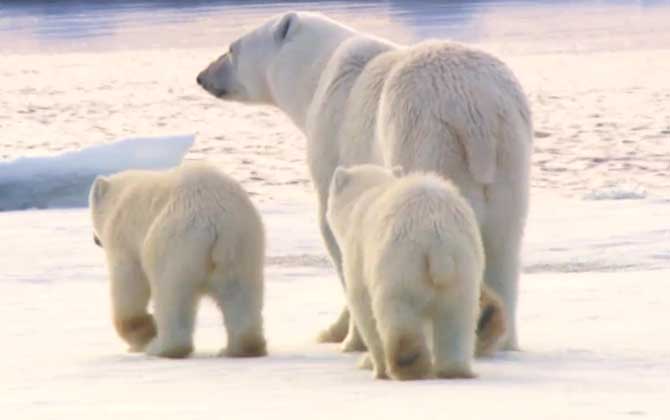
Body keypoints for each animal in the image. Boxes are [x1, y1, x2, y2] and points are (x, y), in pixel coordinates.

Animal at [88, 162, 266, 360]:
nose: (95, 240)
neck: (119, 199)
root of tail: (217, 222)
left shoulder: (124, 238)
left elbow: (130, 283)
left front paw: (144, 336)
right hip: (241, 247)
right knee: (240, 294)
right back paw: (238, 348)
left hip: (175, 246)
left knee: (171, 295)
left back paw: (162, 347)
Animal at [197, 11, 532, 350]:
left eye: (231, 49)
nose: (202, 76)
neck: (316, 73)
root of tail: (475, 114)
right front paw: (331, 332)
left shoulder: (331, 138)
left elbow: (337, 231)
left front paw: (349, 339)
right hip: (510, 153)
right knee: (505, 244)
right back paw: (503, 337)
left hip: (426, 139)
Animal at [330, 165, 490, 380]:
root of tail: (438, 238)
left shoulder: (358, 250)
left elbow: (363, 305)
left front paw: (376, 368)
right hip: (464, 262)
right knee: (457, 317)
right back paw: (454, 370)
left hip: (402, 265)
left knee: (399, 315)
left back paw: (407, 367)